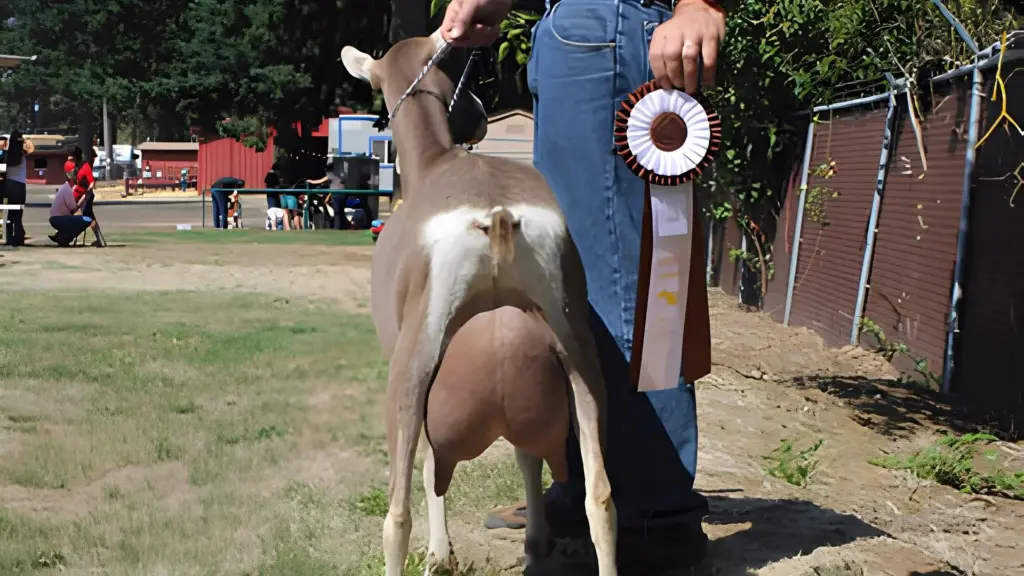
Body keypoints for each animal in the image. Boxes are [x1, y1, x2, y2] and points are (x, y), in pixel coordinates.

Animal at [341, 31, 618, 576]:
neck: (434, 161)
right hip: (578, 356)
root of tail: (497, 216)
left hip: (412, 365)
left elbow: (430, 467)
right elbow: (527, 456)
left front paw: (440, 552)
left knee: (398, 510)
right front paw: (533, 540)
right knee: (599, 495)